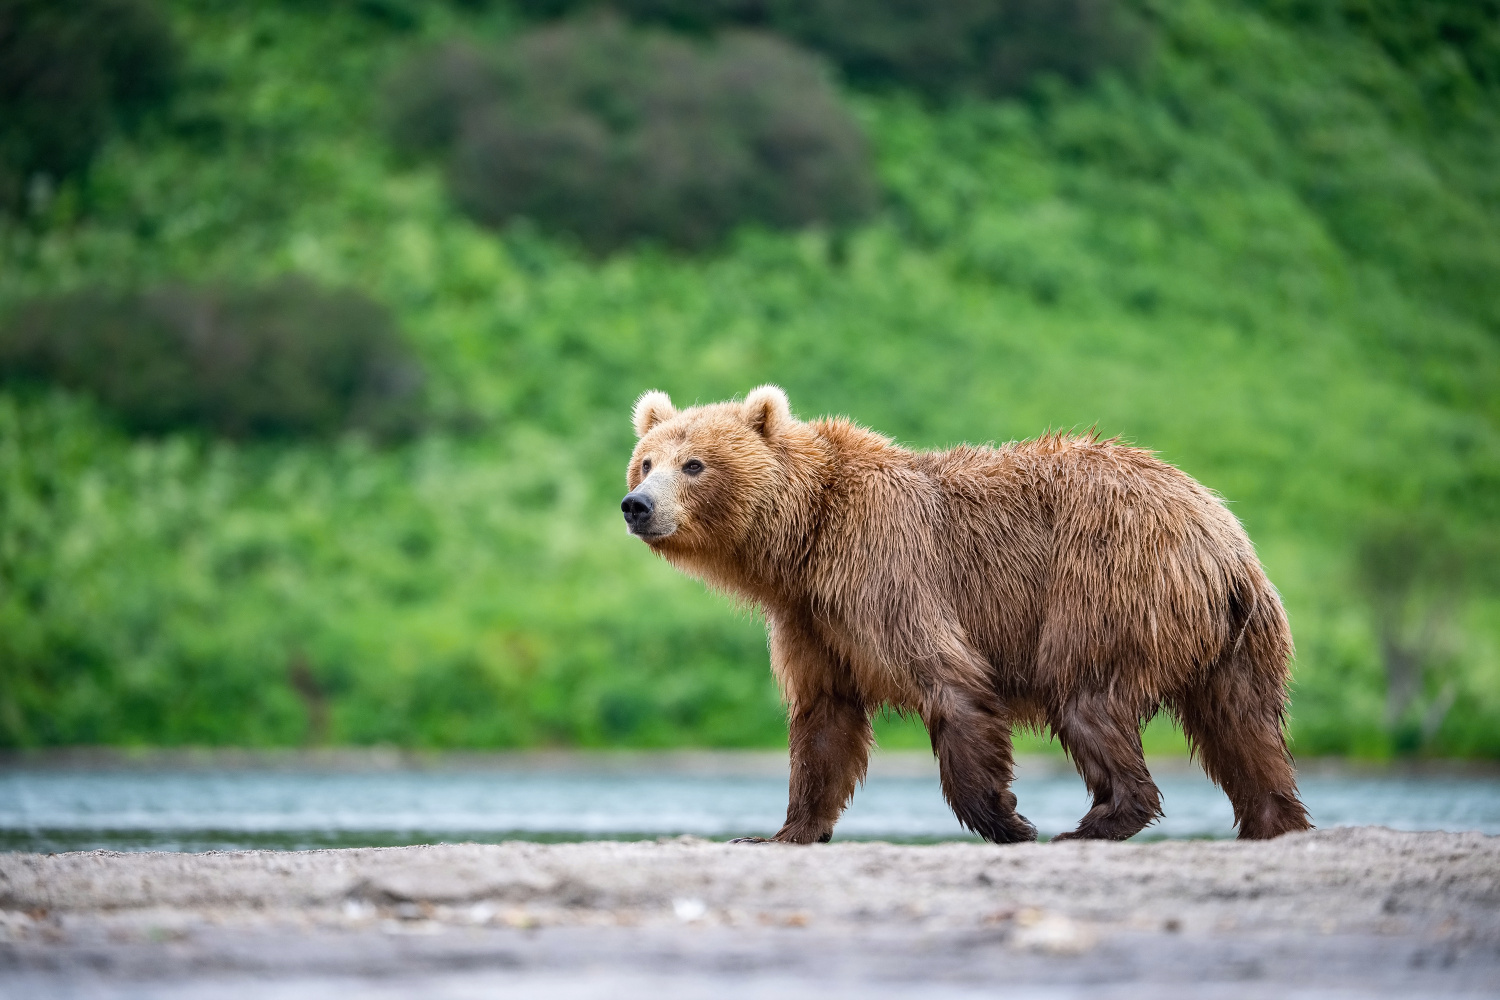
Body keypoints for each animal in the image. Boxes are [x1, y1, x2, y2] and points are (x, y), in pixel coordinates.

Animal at [621, 386, 1314, 839]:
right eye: (646, 461)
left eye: (694, 463)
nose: (637, 505)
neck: (805, 538)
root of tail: (1221, 539)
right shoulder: (812, 619)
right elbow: (824, 719)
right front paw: (785, 830)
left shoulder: (885, 566)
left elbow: (948, 677)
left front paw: (1007, 817)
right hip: (1237, 640)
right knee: (1244, 729)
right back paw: (1275, 820)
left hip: (1109, 589)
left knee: (1087, 698)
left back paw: (1095, 820)